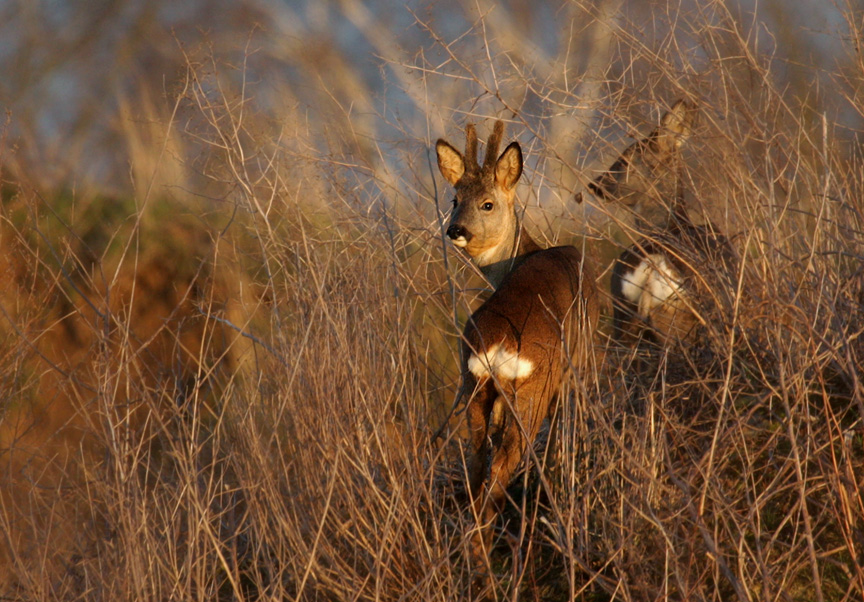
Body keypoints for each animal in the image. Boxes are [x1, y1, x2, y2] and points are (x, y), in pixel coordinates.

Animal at [436, 119, 596, 576]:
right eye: (455, 198)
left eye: (486, 203)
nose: (455, 229)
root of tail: (497, 346)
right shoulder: (578, 367)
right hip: (532, 391)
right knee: (496, 478)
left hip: (473, 389)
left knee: (476, 469)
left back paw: (476, 561)